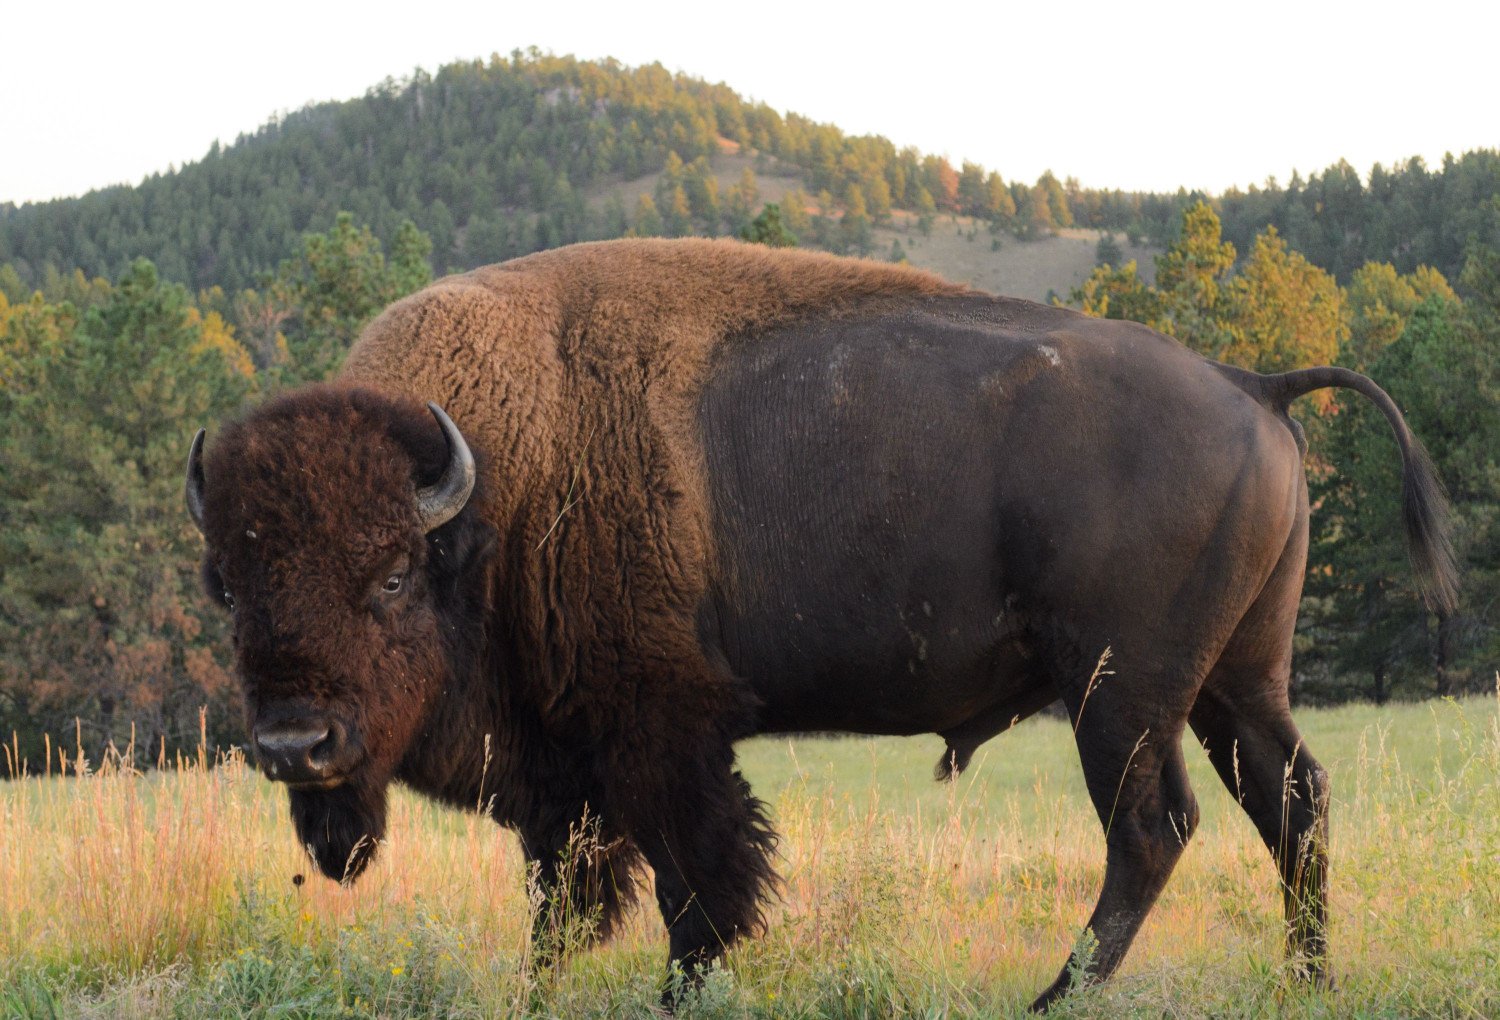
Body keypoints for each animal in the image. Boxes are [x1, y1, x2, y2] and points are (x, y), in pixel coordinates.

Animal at [184, 237, 1452, 1002]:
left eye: (391, 577)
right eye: (228, 583)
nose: (295, 745)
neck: (502, 489)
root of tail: (1252, 385)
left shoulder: (661, 737)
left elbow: (702, 891)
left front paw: (683, 994)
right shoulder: (568, 768)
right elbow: (567, 906)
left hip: (1123, 692)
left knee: (1154, 828)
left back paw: (1055, 999)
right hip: (1237, 679)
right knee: (1291, 798)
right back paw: (1307, 981)